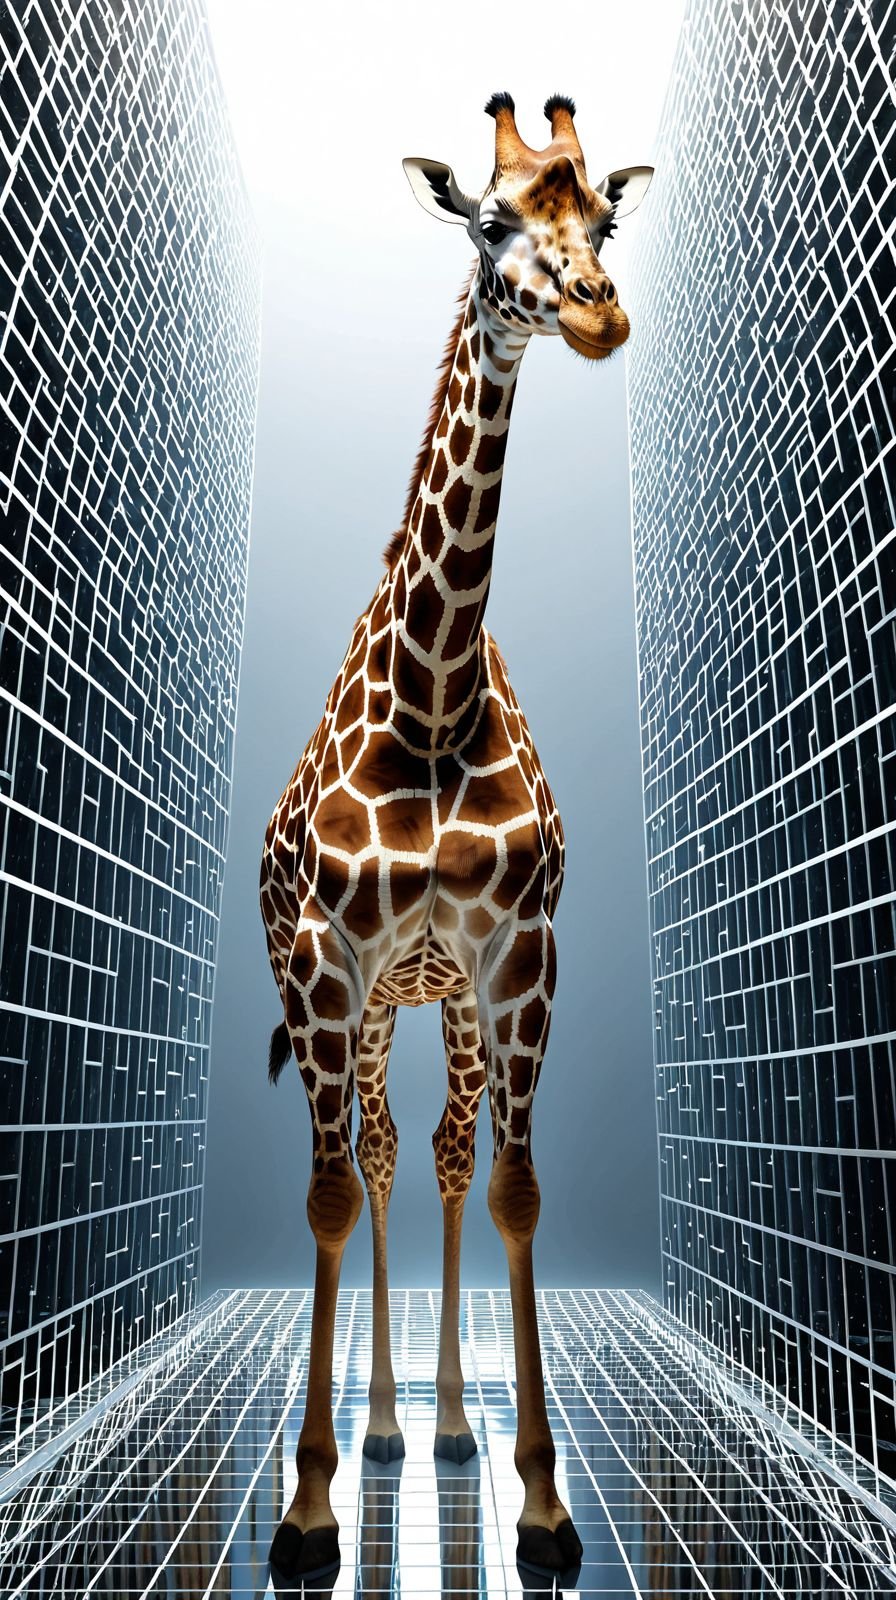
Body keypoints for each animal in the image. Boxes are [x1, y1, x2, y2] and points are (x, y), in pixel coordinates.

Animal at [260, 91, 652, 1585]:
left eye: (601, 219)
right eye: (490, 223)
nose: (598, 313)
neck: (433, 697)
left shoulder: (520, 957)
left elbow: (516, 1189)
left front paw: (541, 1507)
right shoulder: (327, 966)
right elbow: (325, 1192)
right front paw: (307, 1516)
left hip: (448, 1006)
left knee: (431, 1150)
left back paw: (435, 1426)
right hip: (366, 1006)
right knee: (371, 1152)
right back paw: (373, 1431)